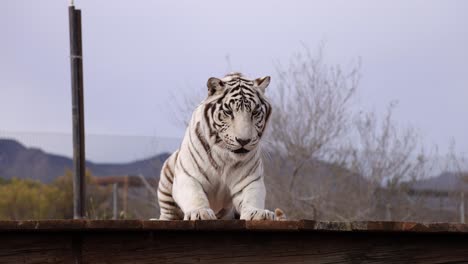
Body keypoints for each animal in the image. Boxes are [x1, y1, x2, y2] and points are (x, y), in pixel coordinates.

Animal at [157, 72, 286, 221]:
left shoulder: (249, 180)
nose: (243, 140)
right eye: (229, 112)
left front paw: (258, 213)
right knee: (168, 214)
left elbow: (251, 197)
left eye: (254, 112)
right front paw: (200, 212)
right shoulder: (188, 176)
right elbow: (195, 195)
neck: (225, 156)